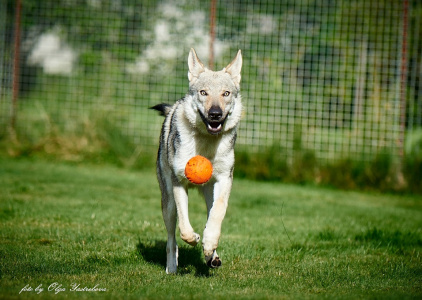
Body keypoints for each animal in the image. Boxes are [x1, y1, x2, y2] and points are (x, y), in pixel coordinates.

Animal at [152, 47, 244, 274]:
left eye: (225, 93)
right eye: (203, 93)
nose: (215, 114)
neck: (206, 143)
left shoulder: (225, 180)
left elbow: (216, 216)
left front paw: (209, 245)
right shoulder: (179, 183)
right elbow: (184, 229)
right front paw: (193, 239)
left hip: (208, 193)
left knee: (210, 216)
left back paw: (212, 257)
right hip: (167, 203)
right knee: (171, 239)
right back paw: (171, 268)